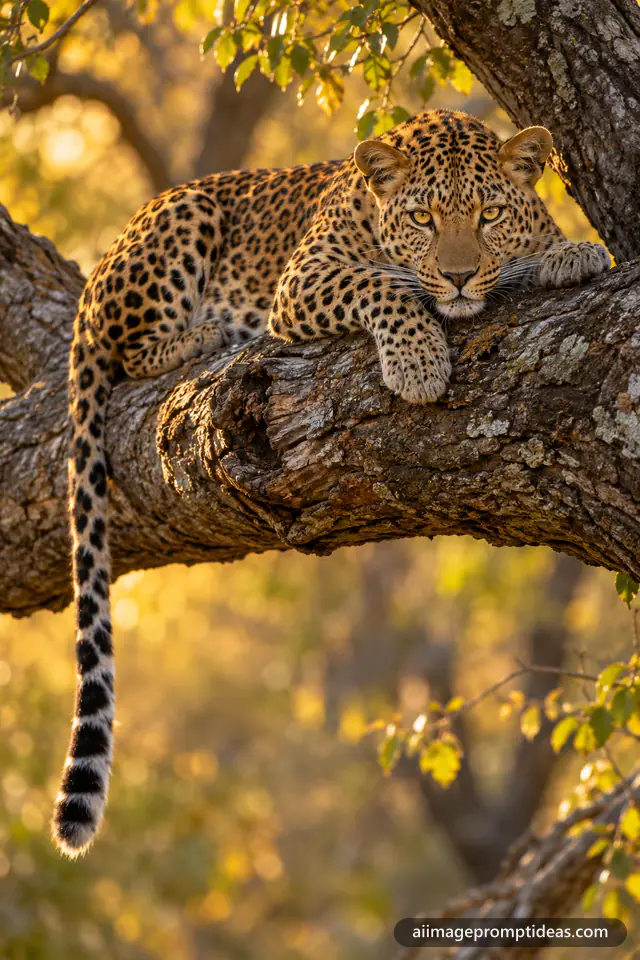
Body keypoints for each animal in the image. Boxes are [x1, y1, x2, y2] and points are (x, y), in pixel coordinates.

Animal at [55, 109, 611, 857]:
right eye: (423, 218)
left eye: (489, 215)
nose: (460, 277)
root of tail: (95, 280)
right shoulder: (306, 279)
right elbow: (383, 285)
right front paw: (418, 363)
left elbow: (530, 248)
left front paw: (568, 253)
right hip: (184, 221)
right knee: (135, 349)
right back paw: (205, 335)